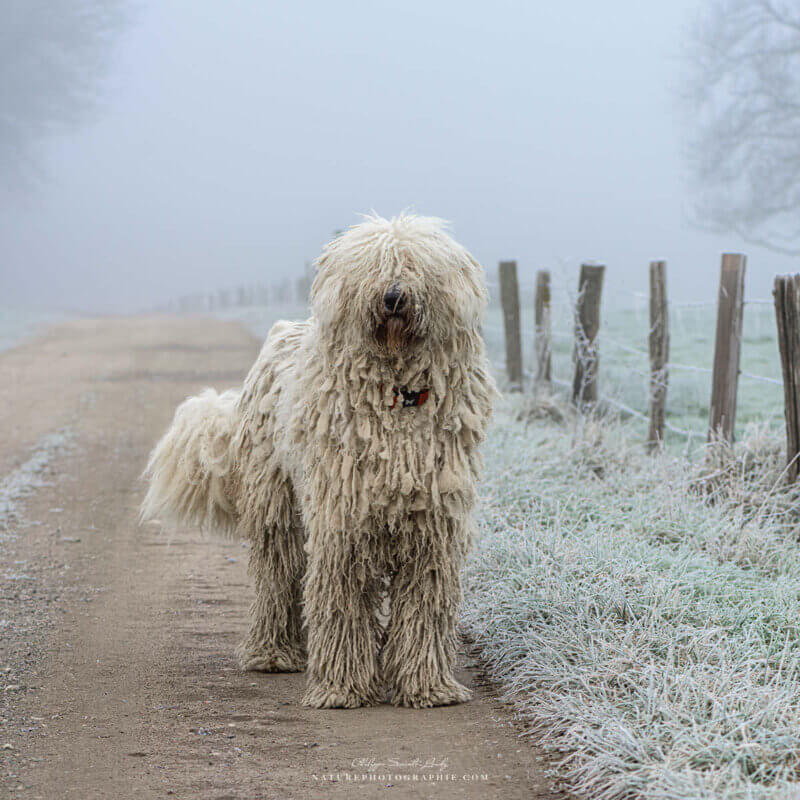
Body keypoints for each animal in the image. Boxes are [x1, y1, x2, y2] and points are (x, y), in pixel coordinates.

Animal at [141, 212, 496, 708]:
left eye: (414, 265)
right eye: (374, 265)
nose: (393, 296)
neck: (396, 395)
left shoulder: (432, 528)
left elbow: (424, 606)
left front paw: (427, 685)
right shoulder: (342, 522)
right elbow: (342, 602)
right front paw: (343, 686)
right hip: (276, 503)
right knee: (277, 576)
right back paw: (274, 653)